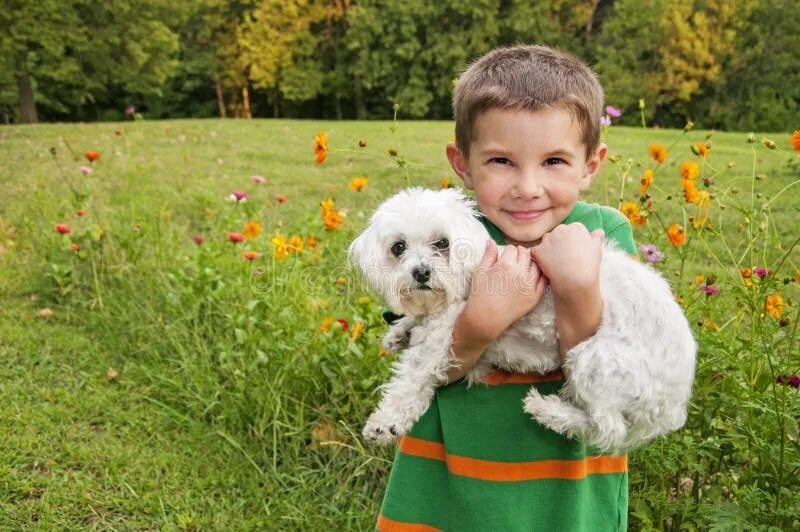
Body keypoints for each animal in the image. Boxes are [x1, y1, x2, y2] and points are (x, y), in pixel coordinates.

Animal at [350, 189, 692, 450]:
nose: (421, 272)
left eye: (443, 243)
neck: (470, 274)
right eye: (398, 247)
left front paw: (385, 422)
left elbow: (412, 377)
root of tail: (675, 398)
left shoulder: (447, 333)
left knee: (608, 429)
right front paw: (400, 331)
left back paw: (547, 410)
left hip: (596, 358)